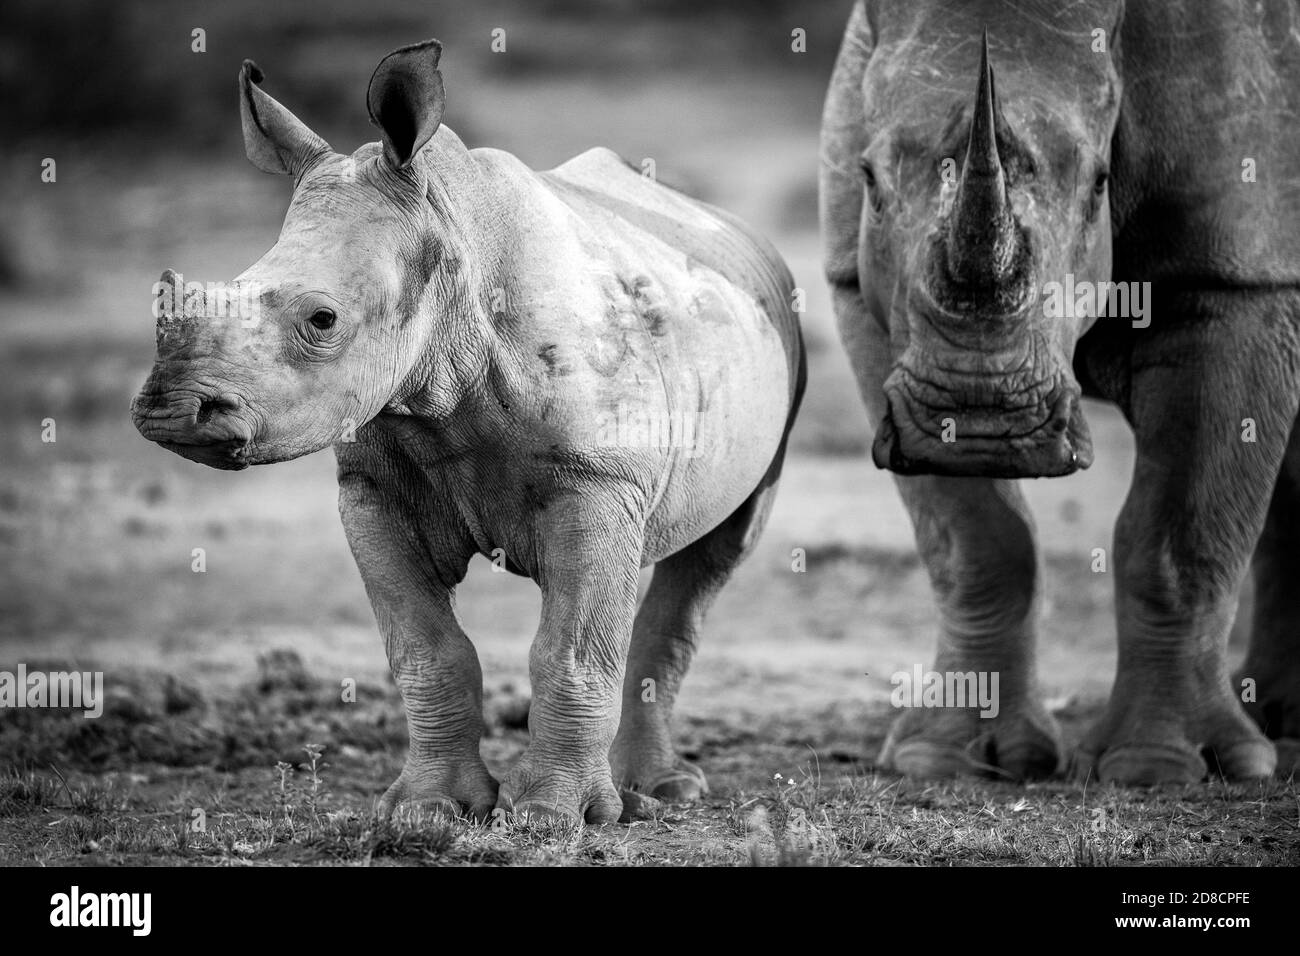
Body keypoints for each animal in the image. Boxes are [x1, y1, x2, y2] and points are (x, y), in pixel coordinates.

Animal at [131, 39, 800, 822]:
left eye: (322, 319)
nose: (171, 412)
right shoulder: (375, 485)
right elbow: (428, 651)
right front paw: (430, 811)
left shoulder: (596, 481)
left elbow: (568, 653)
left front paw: (552, 818)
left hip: (777, 325)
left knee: (715, 555)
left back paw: (658, 793)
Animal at [821, 1, 1300, 785]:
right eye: (866, 178)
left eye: (1102, 183)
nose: (980, 422)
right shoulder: (855, 284)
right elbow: (976, 539)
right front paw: (944, 759)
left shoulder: (1236, 278)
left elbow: (1181, 530)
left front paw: (1160, 769)